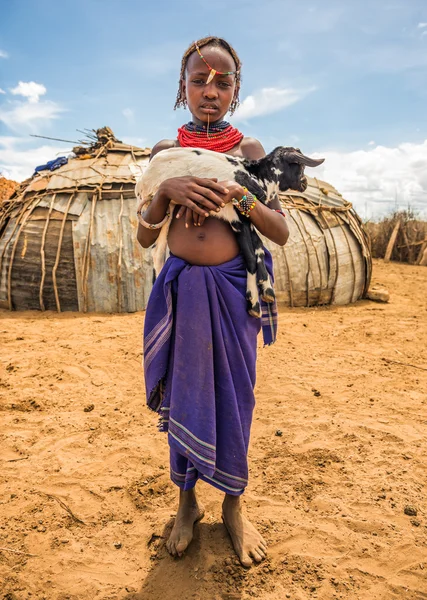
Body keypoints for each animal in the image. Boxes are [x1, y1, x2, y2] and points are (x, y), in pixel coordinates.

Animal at [137, 146, 324, 318]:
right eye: (300, 165)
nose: (305, 183)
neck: (256, 176)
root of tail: (141, 183)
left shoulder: (245, 218)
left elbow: (258, 247)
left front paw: (267, 289)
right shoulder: (237, 217)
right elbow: (250, 256)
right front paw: (254, 303)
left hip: (167, 211)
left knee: (157, 253)